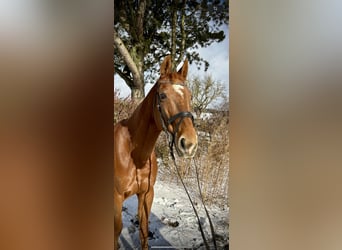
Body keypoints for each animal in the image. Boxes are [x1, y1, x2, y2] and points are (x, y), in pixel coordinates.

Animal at [114, 55, 198, 249]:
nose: (189, 144)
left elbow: (144, 231)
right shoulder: (116, 198)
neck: (135, 156)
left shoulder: (146, 194)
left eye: (190, 96)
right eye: (163, 95)